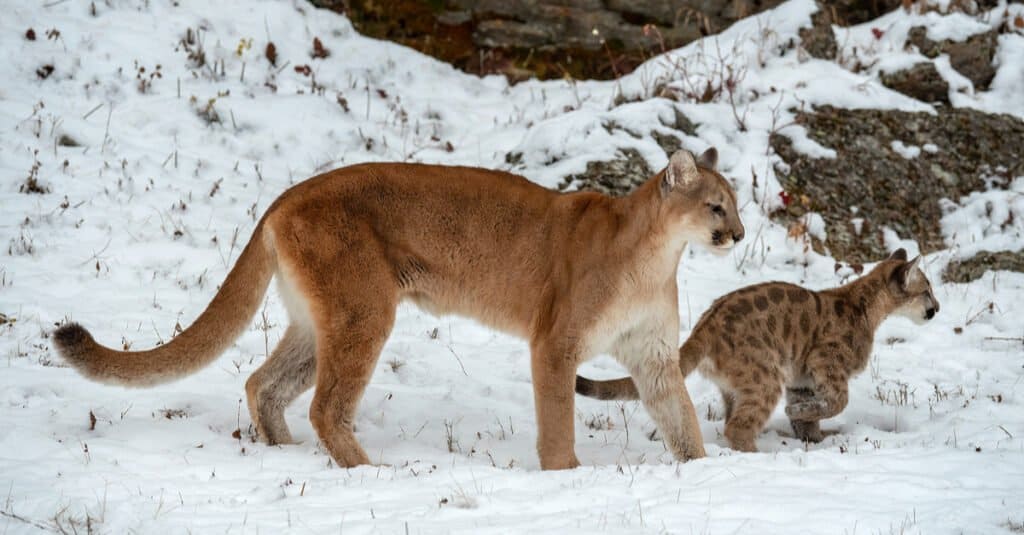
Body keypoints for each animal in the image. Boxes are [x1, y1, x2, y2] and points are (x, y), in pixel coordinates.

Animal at [54, 147, 745, 469]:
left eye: (735, 203)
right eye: (715, 205)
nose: (738, 234)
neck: (655, 256)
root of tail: (285, 196)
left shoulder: (653, 355)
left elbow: (680, 416)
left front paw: (699, 469)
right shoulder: (556, 344)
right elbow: (558, 422)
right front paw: (567, 474)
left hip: (324, 319)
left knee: (263, 383)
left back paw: (282, 452)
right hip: (365, 312)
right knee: (324, 405)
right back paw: (372, 473)